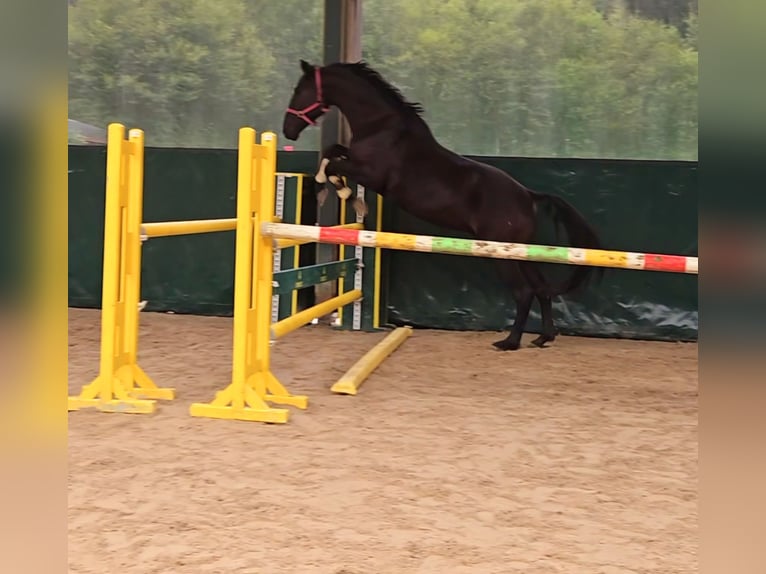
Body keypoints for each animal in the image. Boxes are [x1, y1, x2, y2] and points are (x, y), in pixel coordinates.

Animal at [284, 60, 608, 354]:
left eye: (299, 90)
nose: (287, 130)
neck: (382, 127)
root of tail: (528, 196)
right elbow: (333, 151)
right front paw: (344, 192)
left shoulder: (371, 174)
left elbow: (332, 160)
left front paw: (338, 190)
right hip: (520, 251)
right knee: (540, 288)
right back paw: (543, 338)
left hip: (500, 251)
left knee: (523, 291)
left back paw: (509, 342)